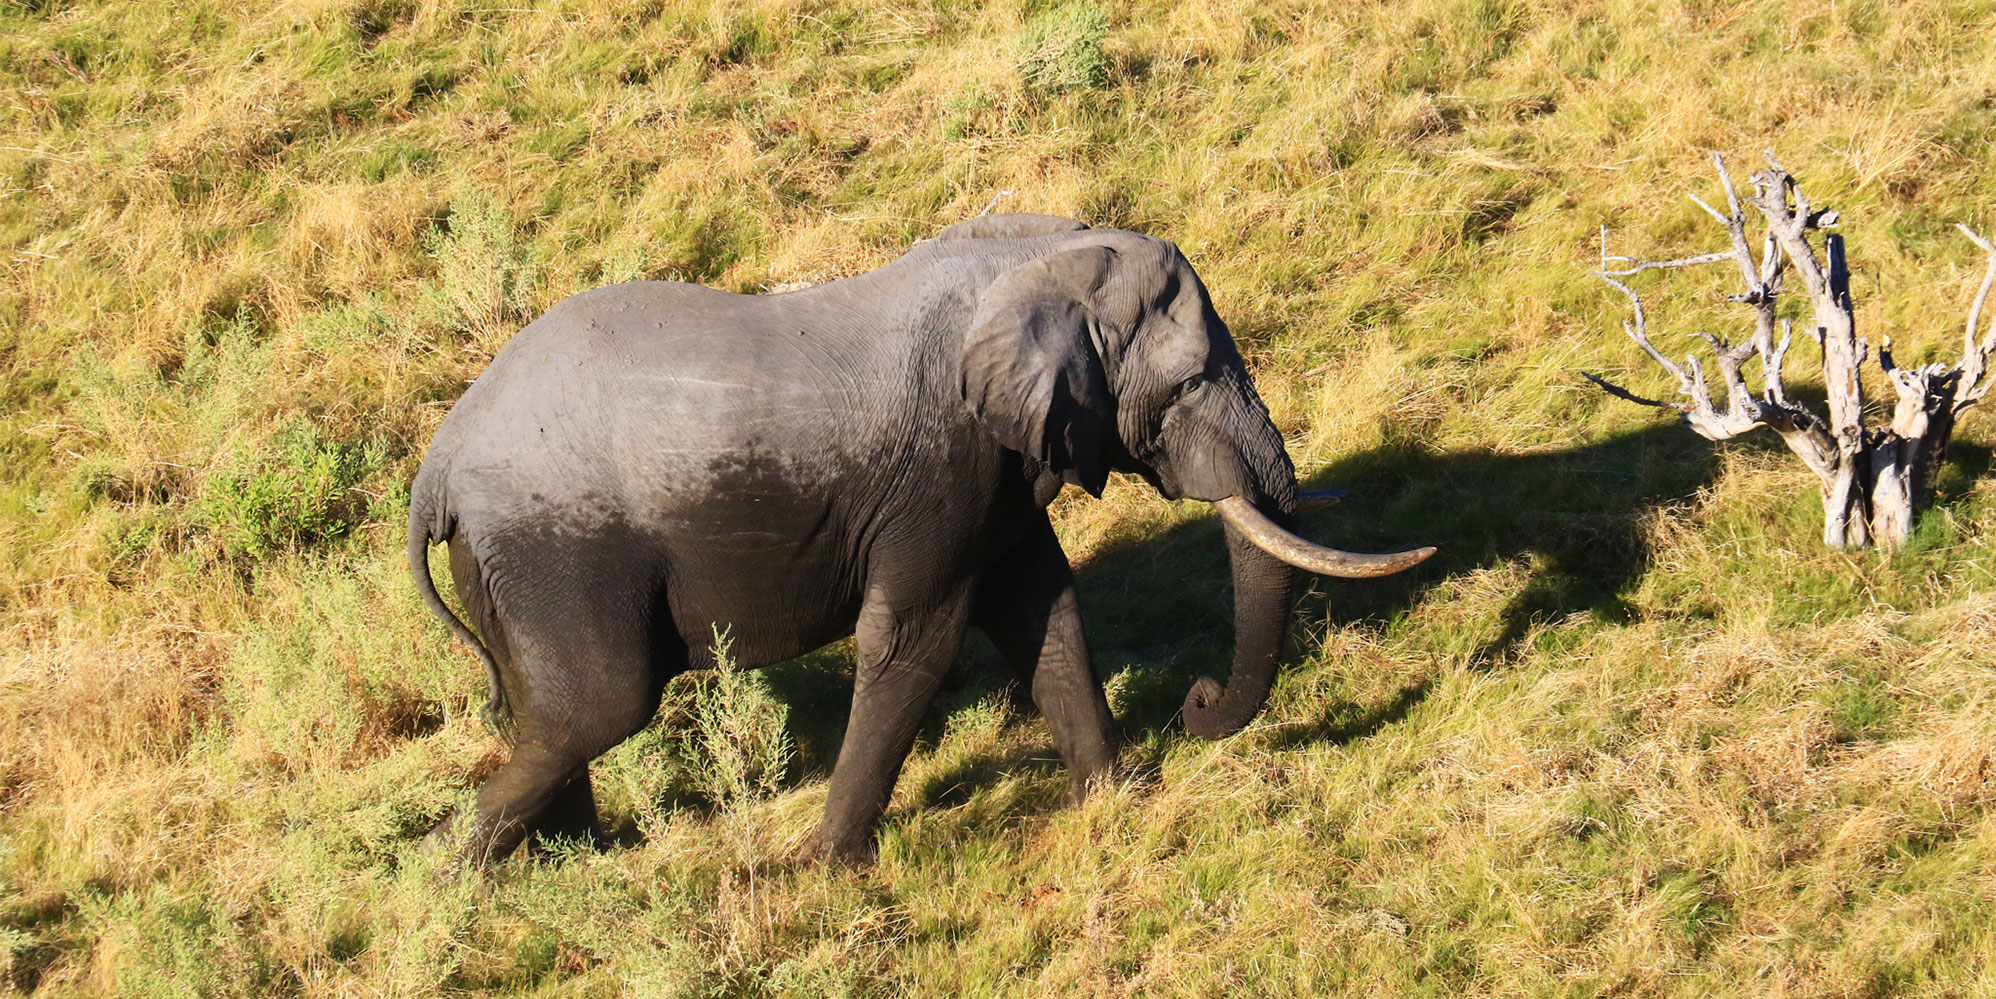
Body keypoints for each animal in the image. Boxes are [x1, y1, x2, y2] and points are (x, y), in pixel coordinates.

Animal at [407, 213, 1432, 866]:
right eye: (1185, 387)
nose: (1199, 703)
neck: (1033, 260)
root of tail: (437, 467)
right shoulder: (942, 469)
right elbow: (916, 642)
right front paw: (829, 869)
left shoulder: (1002, 472)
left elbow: (1045, 612)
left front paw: (1115, 799)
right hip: (558, 549)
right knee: (600, 705)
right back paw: (460, 881)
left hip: (512, 563)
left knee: (546, 709)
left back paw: (573, 860)